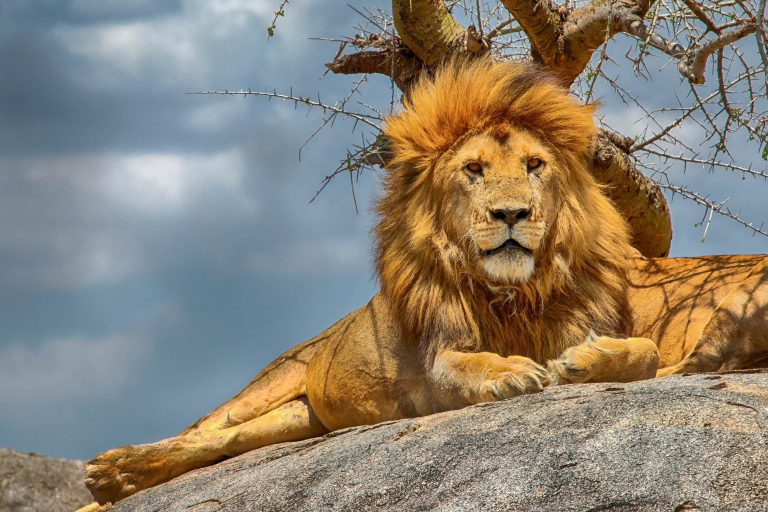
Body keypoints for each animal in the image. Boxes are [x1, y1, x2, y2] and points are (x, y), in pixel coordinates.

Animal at [79, 58, 768, 506]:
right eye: (474, 170)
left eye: (534, 166)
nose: (512, 214)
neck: (512, 294)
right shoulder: (440, 358)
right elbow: (471, 365)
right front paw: (512, 373)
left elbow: (643, 350)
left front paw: (581, 364)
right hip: (273, 380)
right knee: (198, 431)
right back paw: (109, 475)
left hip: (299, 419)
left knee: (220, 445)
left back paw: (120, 480)